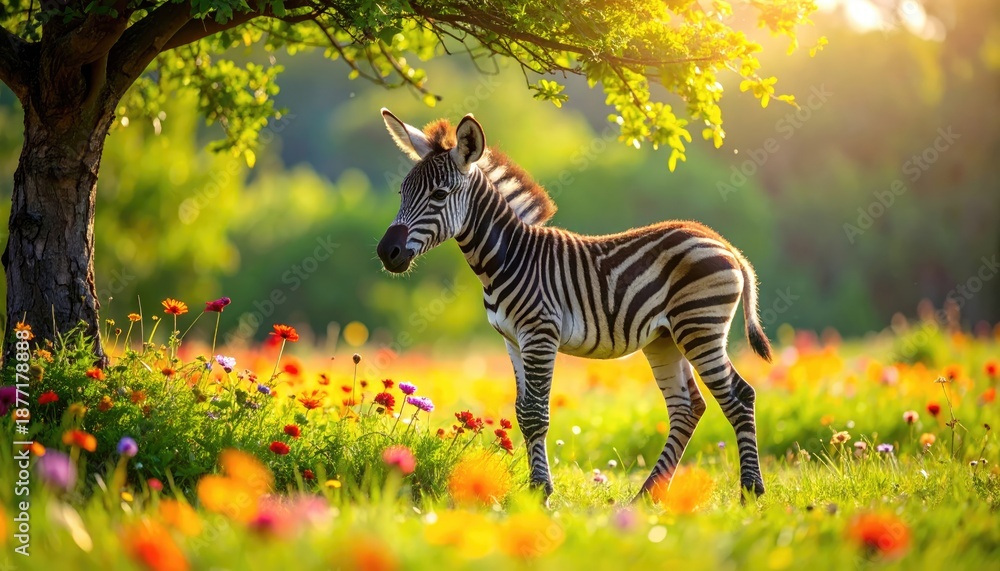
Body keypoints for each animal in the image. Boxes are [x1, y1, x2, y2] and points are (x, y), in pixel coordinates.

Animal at [376, 108, 773, 501]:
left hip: (699, 326)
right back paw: (648, 495)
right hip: (665, 339)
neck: (508, 258)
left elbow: (536, 414)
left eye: (440, 194)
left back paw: (750, 491)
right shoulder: (512, 340)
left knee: (739, 396)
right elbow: (522, 413)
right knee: (687, 407)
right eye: (402, 192)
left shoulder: (540, 333)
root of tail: (723, 243)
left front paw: (540, 491)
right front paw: (535, 489)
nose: (386, 252)